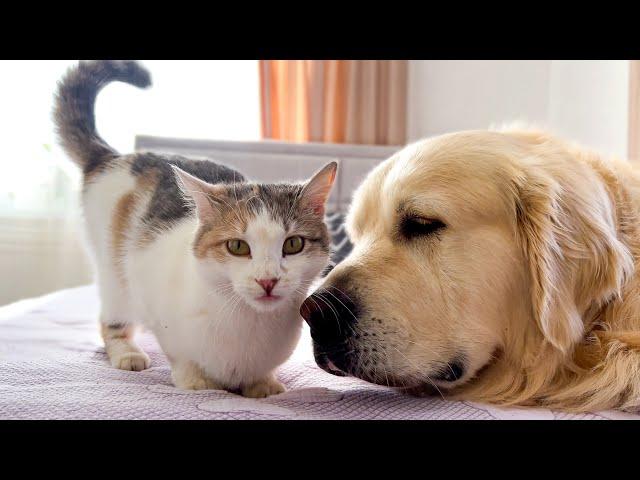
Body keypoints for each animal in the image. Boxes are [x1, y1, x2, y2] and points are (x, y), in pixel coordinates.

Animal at [52, 60, 338, 398]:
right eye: (237, 246)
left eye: (293, 244)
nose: (267, 280)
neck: (248, 323)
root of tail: (117, 156)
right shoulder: (150, 286)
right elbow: (181, 356)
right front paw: (196, 381)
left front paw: (262, 384)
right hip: (115, 275)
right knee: (112, 318)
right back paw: (127, 352)